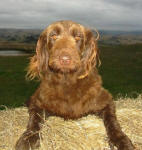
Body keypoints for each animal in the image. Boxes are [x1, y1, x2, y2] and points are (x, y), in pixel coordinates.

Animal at [15, 20, 134, 149]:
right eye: (53, 35)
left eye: (78, 36)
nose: (65, 59)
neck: (67, 82)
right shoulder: (36, 101)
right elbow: (34, 119)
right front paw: (28, 138)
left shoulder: (106, 100)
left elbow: (112, 120)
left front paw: (121, 140)